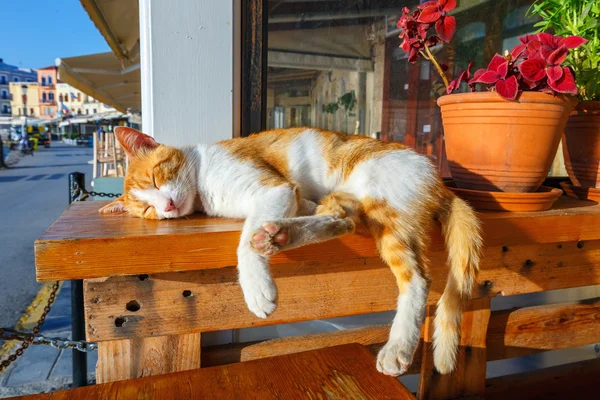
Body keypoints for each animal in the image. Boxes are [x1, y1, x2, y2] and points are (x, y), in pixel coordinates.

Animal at [99, 126, 482, 376]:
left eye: (155, 178)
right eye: (147, 210)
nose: (165, 206)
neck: (202, 186)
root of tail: (439, 181)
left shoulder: (274, 189)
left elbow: (244, 241)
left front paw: (257, 289)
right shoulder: (289, 196)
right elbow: (287, 211)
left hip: (384, 204)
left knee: (417, 279)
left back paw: (398, 347)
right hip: (349, 201)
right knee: (342, 220)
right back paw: (282, 233)